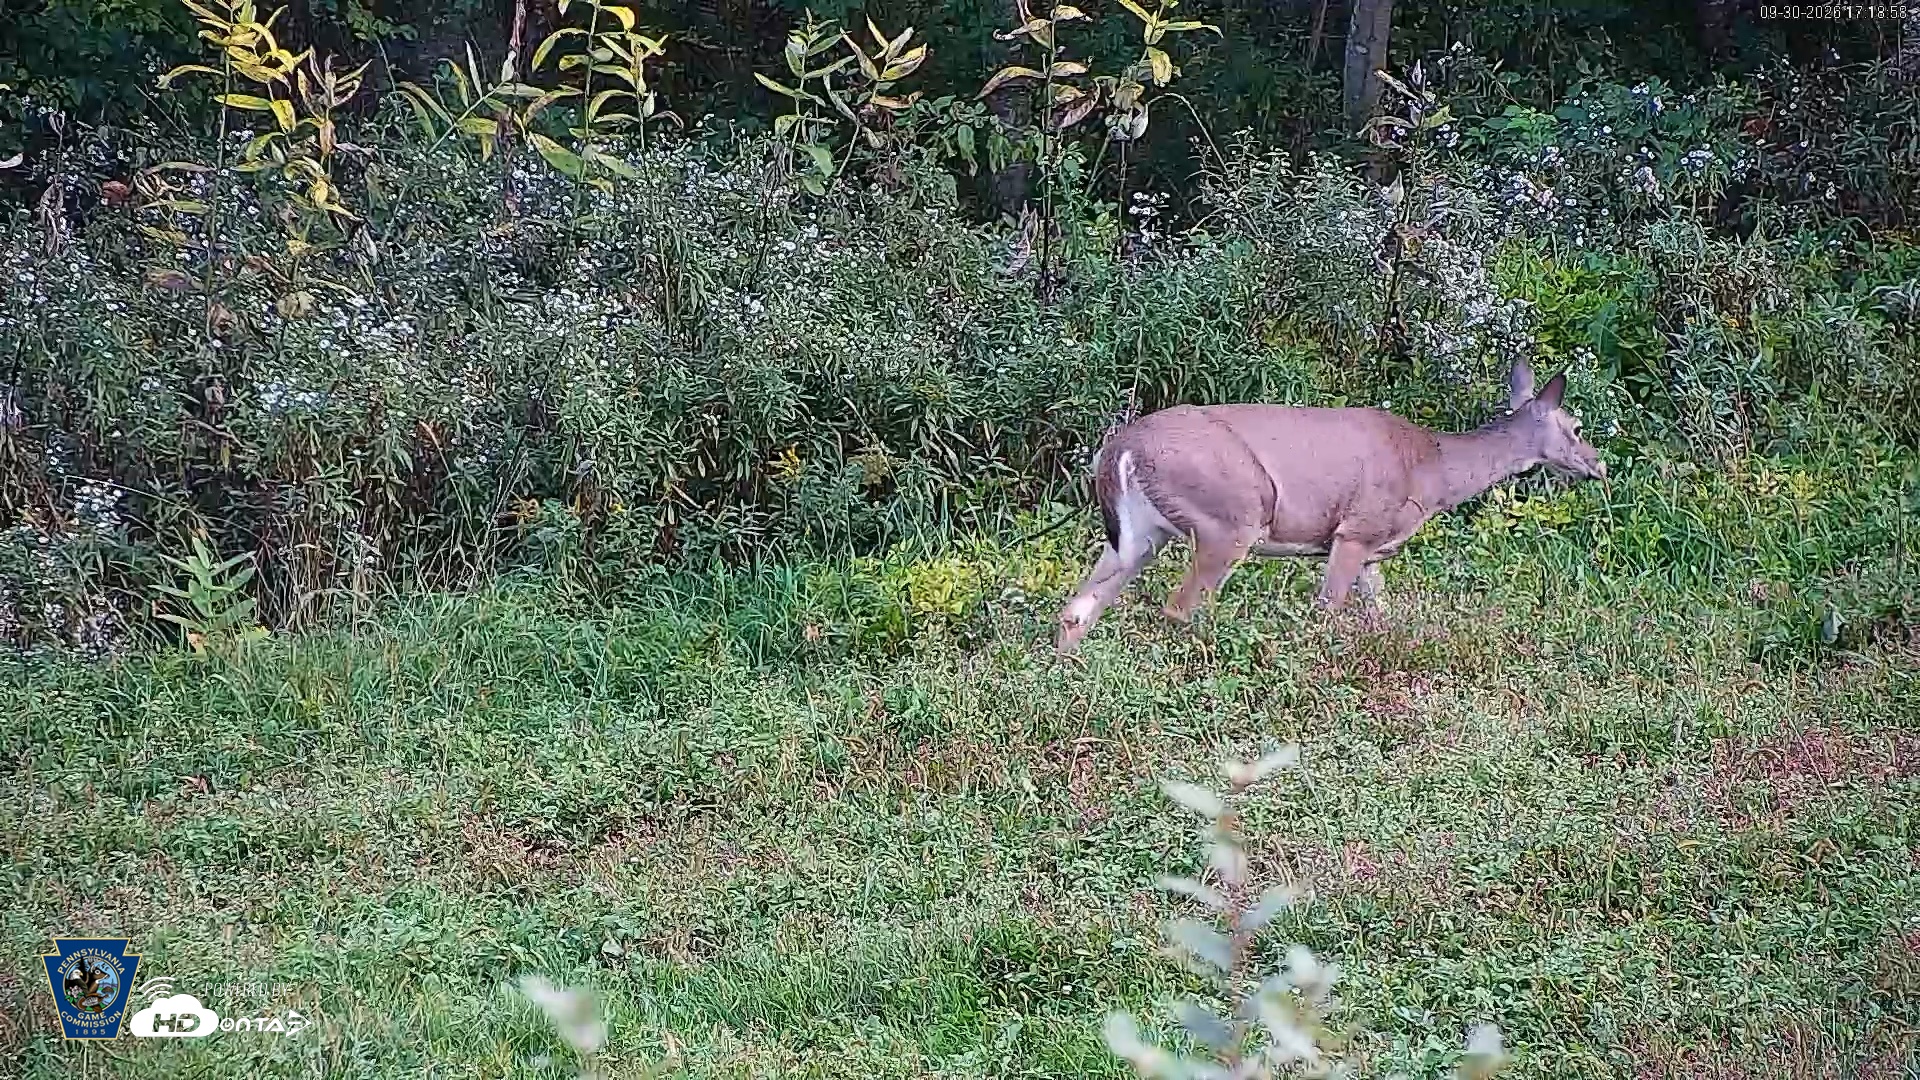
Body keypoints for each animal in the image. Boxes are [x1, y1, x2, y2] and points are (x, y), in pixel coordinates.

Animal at [1054, 359, 1607, 654]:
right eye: (1578, 427)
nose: (1599, 466)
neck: (1434, 468)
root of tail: (1118, 449)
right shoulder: (1354, 531)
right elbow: (1326, 613)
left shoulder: (1375, 550)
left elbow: (1379, 613)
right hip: (1228, 519)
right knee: (1180, 606)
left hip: (1141, 534)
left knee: (1078, 607)